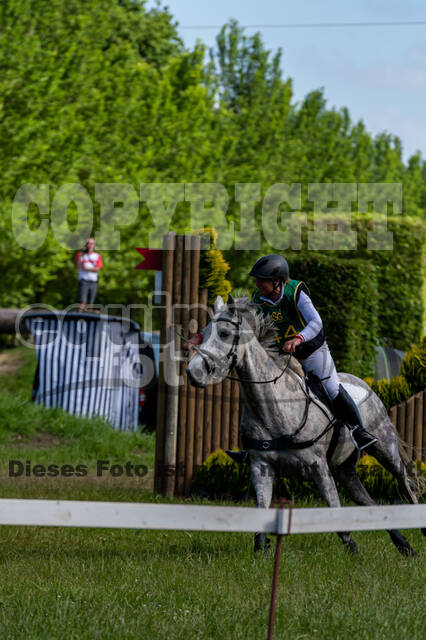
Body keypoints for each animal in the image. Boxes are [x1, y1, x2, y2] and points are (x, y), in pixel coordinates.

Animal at [186, 294, 424, 556]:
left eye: (225, 333)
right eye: (204, 333)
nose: (193, 372)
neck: (271, 406)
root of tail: (366, 384)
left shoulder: (319, 467)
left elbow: (335, 510)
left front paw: (352, 550)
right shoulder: (261, 466)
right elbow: (261, 509)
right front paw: (261, 548)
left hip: (385, 450)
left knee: (406, 483)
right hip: (345, 470)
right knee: (370, 503)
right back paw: (404, 546)